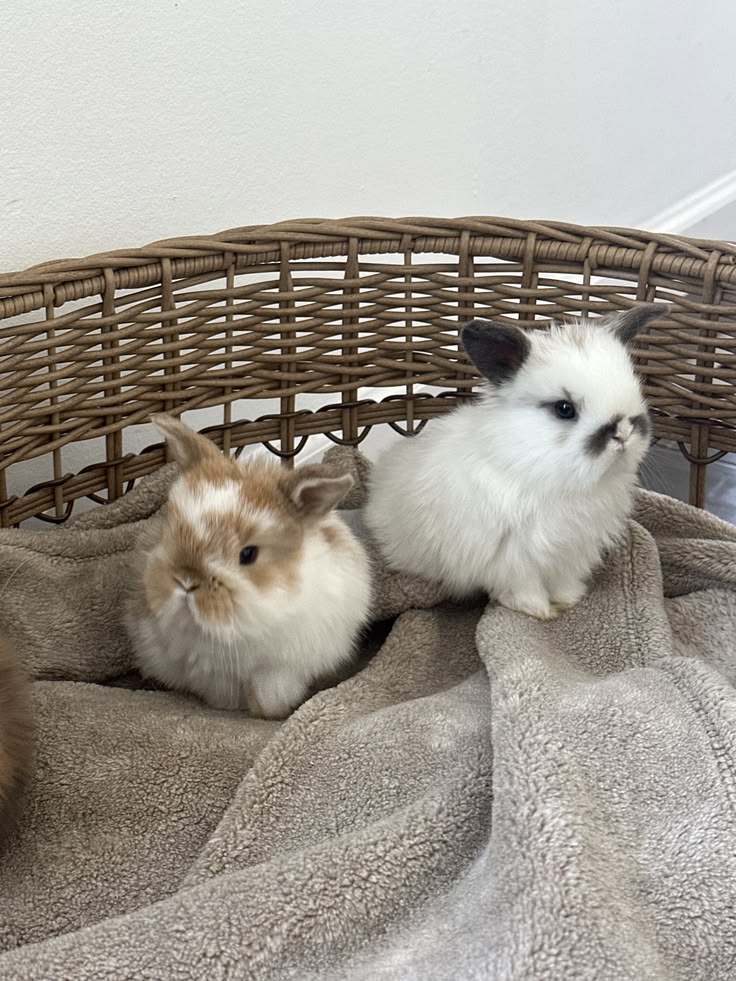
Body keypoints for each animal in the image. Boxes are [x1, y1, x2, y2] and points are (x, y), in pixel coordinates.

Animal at [125, 415, 372, 720]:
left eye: (248, 554)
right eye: (169, 530)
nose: (185, 581)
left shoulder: (284, 667)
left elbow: (271, 694)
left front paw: (268, 710)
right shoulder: (210, 673)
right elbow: (222, 695)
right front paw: (236, 708)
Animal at [364, 303, 669, 620]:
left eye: (635, 388)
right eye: (564, 409)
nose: (623, 433)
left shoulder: (571, 551)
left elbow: (563, 581)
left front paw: (569, 600)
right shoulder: (514, 559)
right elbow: (524, 588)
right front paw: (540, 611)